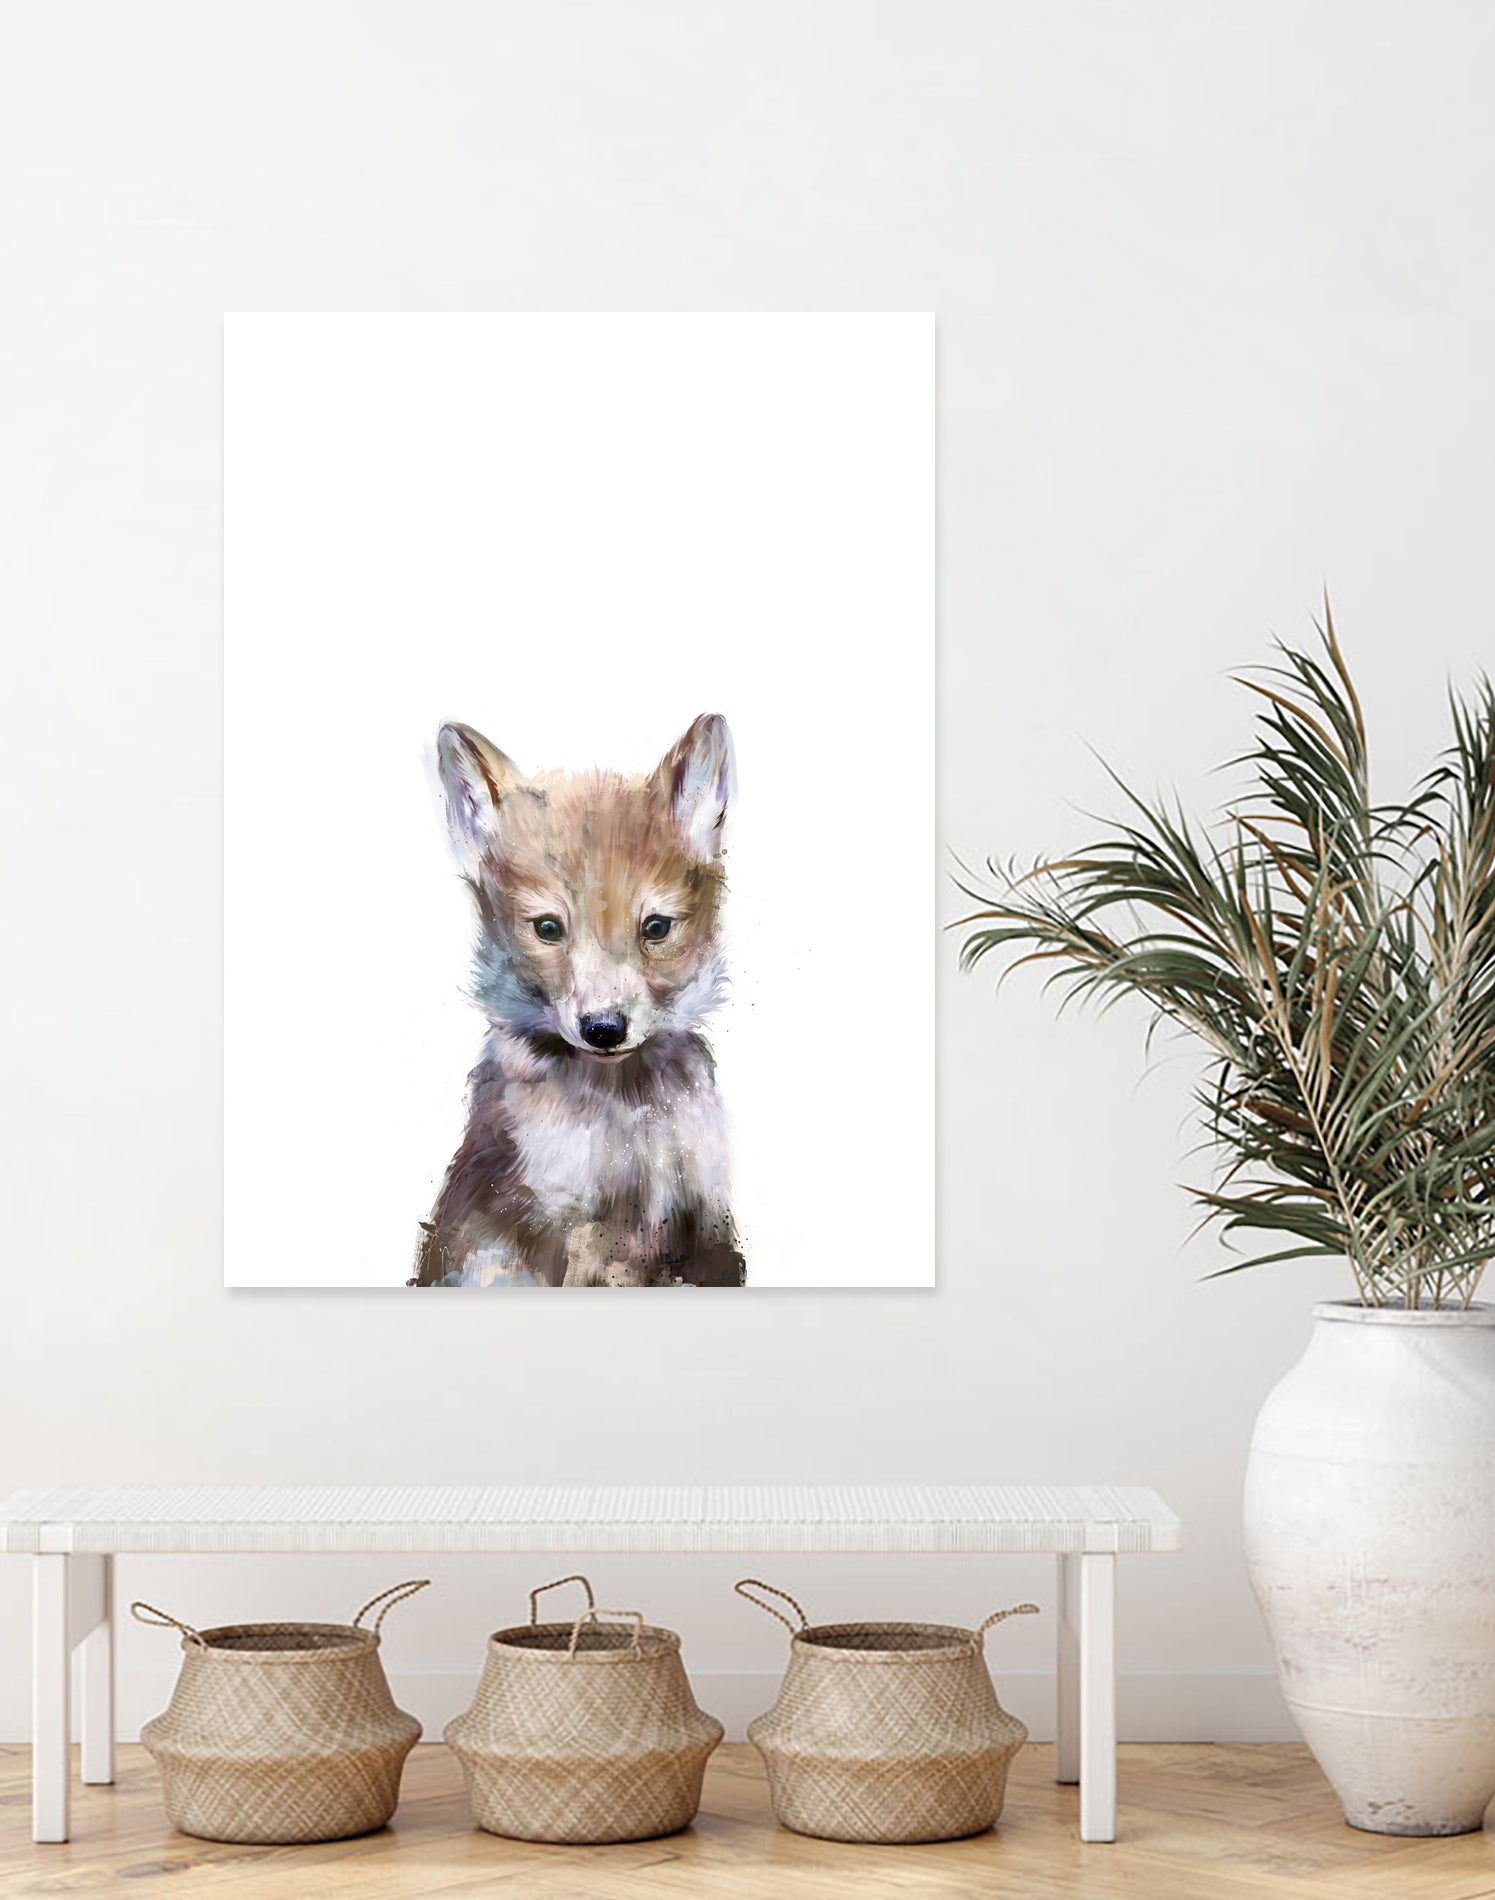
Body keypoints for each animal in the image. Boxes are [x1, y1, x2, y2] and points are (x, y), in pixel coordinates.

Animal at [411, 713, 746, 1287]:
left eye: (656, 927)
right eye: (548, 928)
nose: (604, 1029)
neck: (625, 1116)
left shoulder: (703, 1221)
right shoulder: (565, 1225)